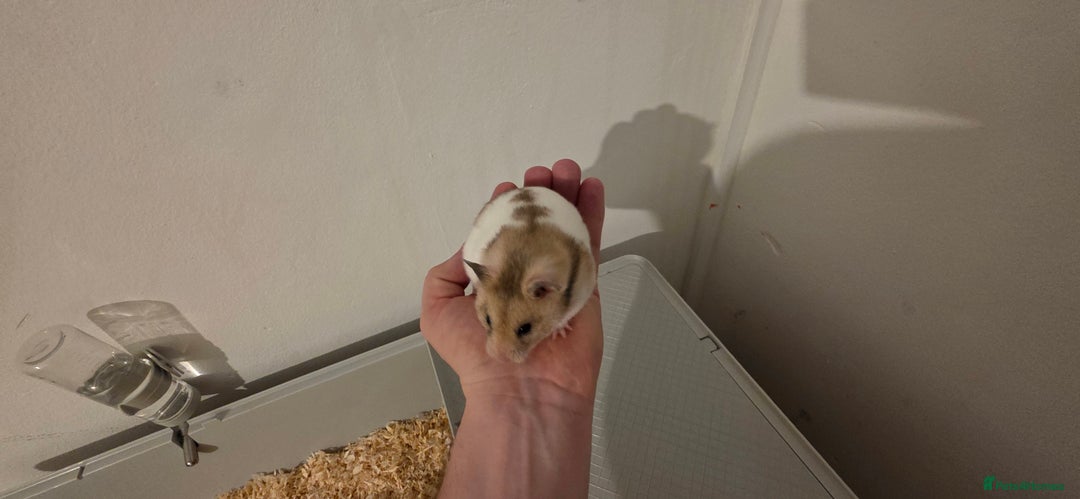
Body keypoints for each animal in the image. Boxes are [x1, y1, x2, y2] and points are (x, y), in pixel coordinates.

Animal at [463, 186, 597, 363]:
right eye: (487, 319)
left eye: (525, 329)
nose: (499, 359)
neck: (518, 265)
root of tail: (524, 188)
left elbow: (564, 318)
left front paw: (560, 334)